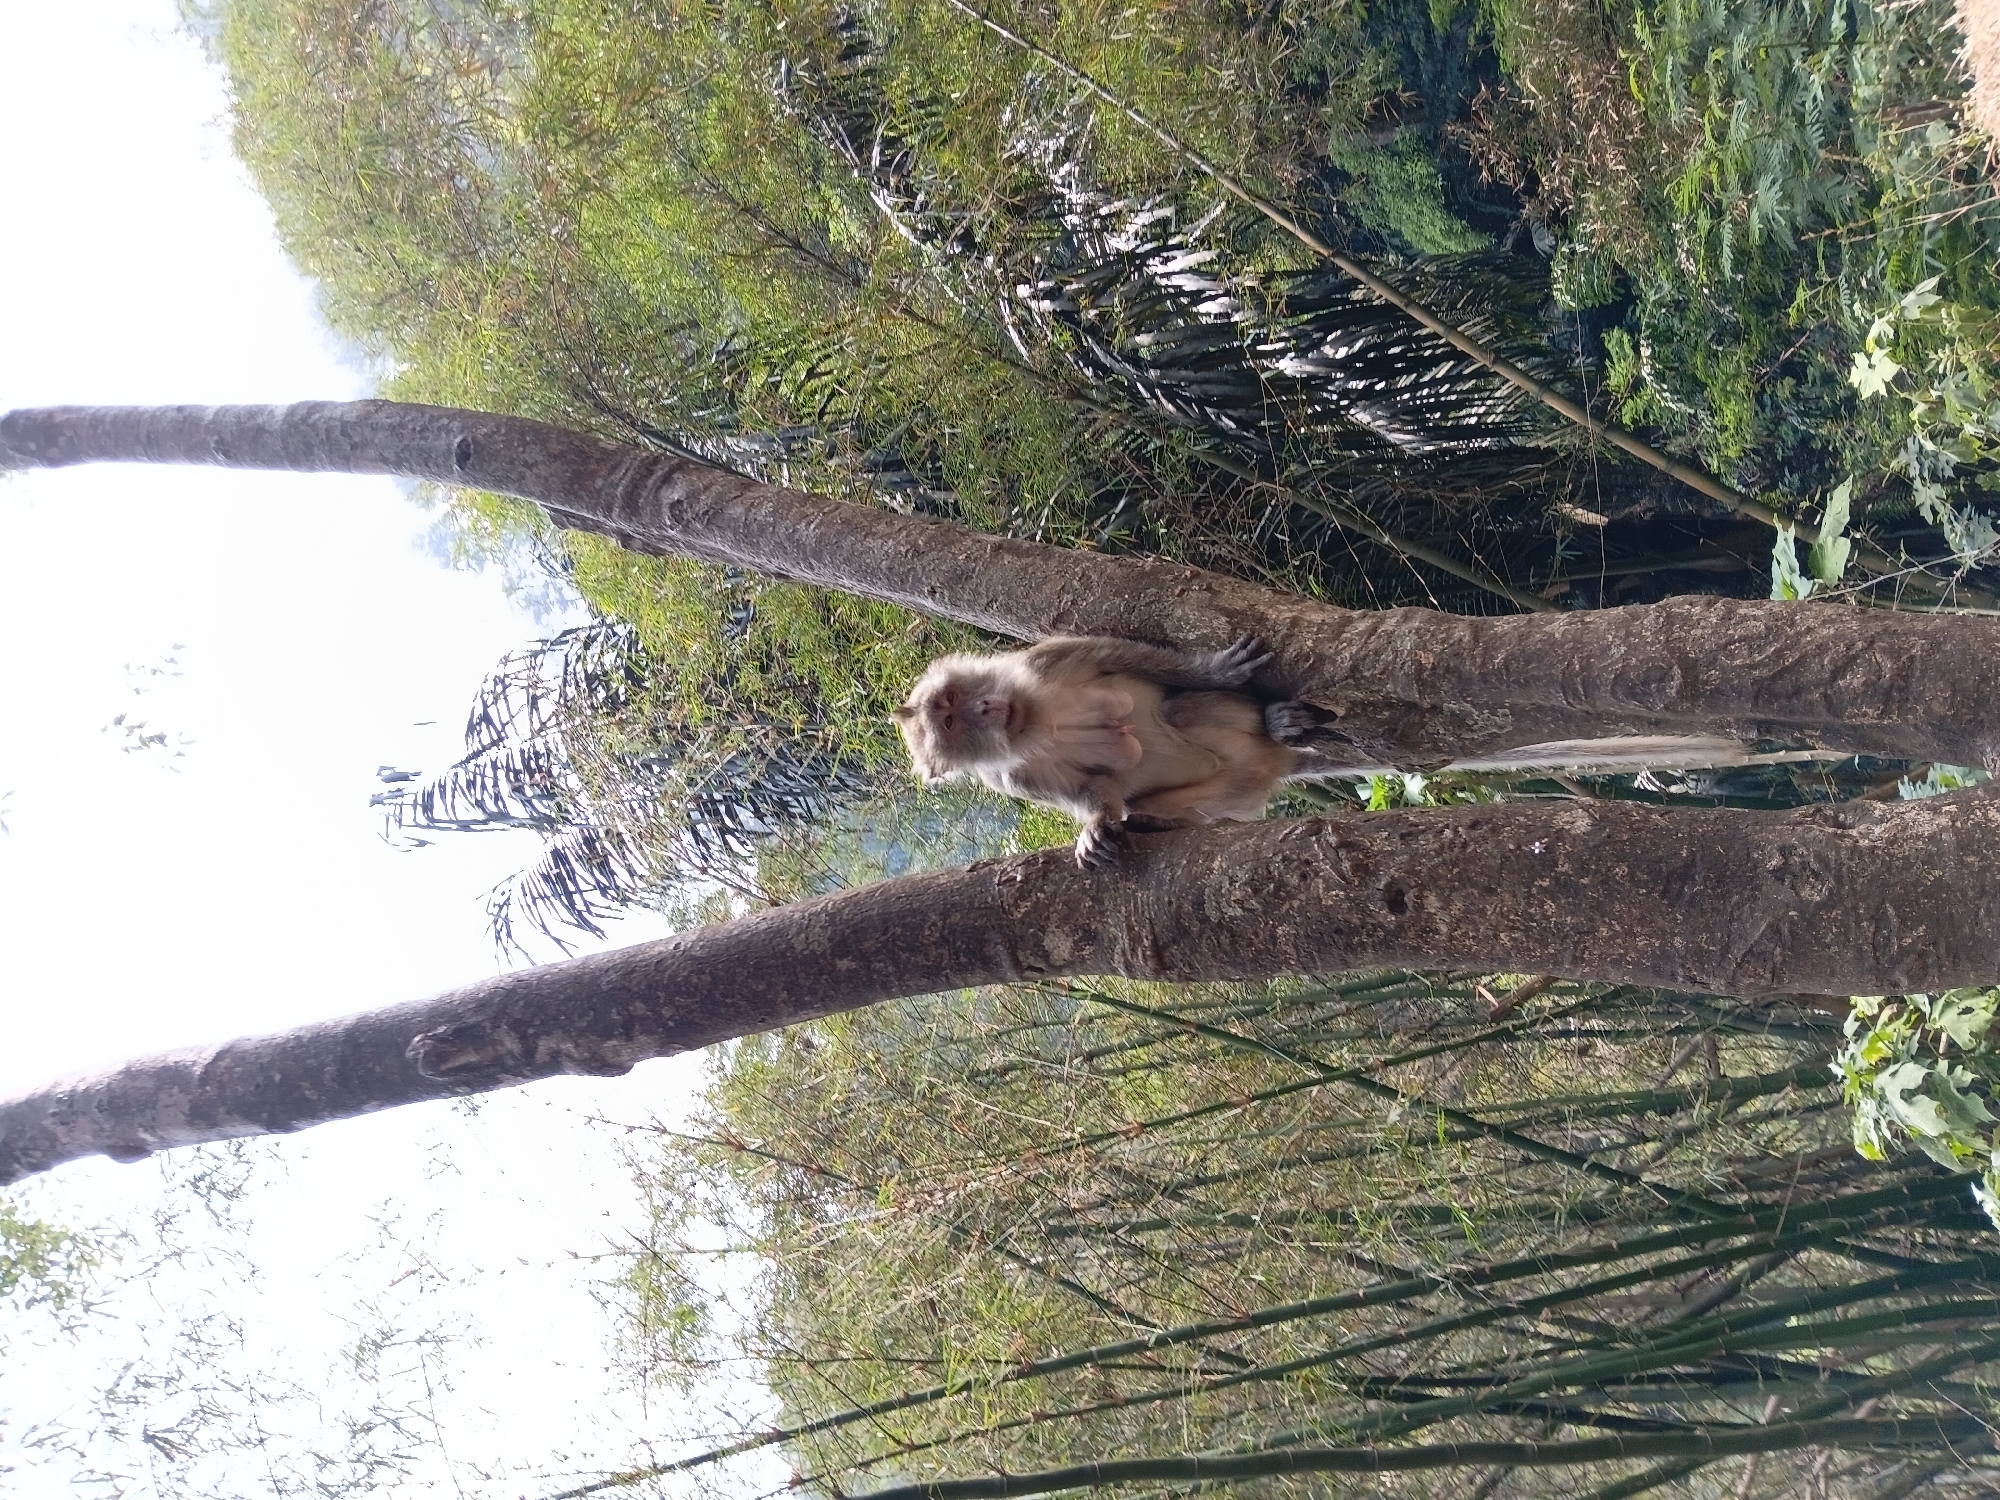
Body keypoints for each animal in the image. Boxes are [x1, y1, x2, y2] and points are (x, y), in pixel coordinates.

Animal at [894, 634, 1338, 866]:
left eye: (951, 699)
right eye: (950, 723)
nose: (984, 707)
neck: (1041, 718)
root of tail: (1269, 763)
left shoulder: (1046, 659)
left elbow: (1121, 655)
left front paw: (1216, 671)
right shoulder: (1012, 776)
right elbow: (1092, 788)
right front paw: (1094, 826)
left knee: (1177, 709)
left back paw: (1273, 720)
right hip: (1234, 791)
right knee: (1153, 802)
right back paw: (1162, 823)